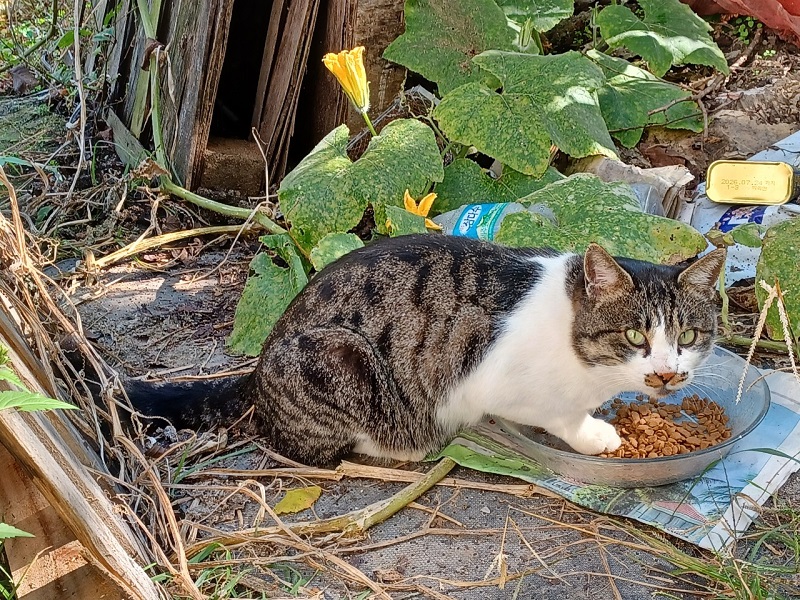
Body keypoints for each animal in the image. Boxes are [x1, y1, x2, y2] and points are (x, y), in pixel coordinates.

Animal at [128, 233, 728, 464]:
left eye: (688, 338)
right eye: (635, 336)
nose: (667, 374)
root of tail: (256, 371)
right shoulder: (500, 387)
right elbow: (562, 416)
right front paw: (597, 433)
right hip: (341, 359)